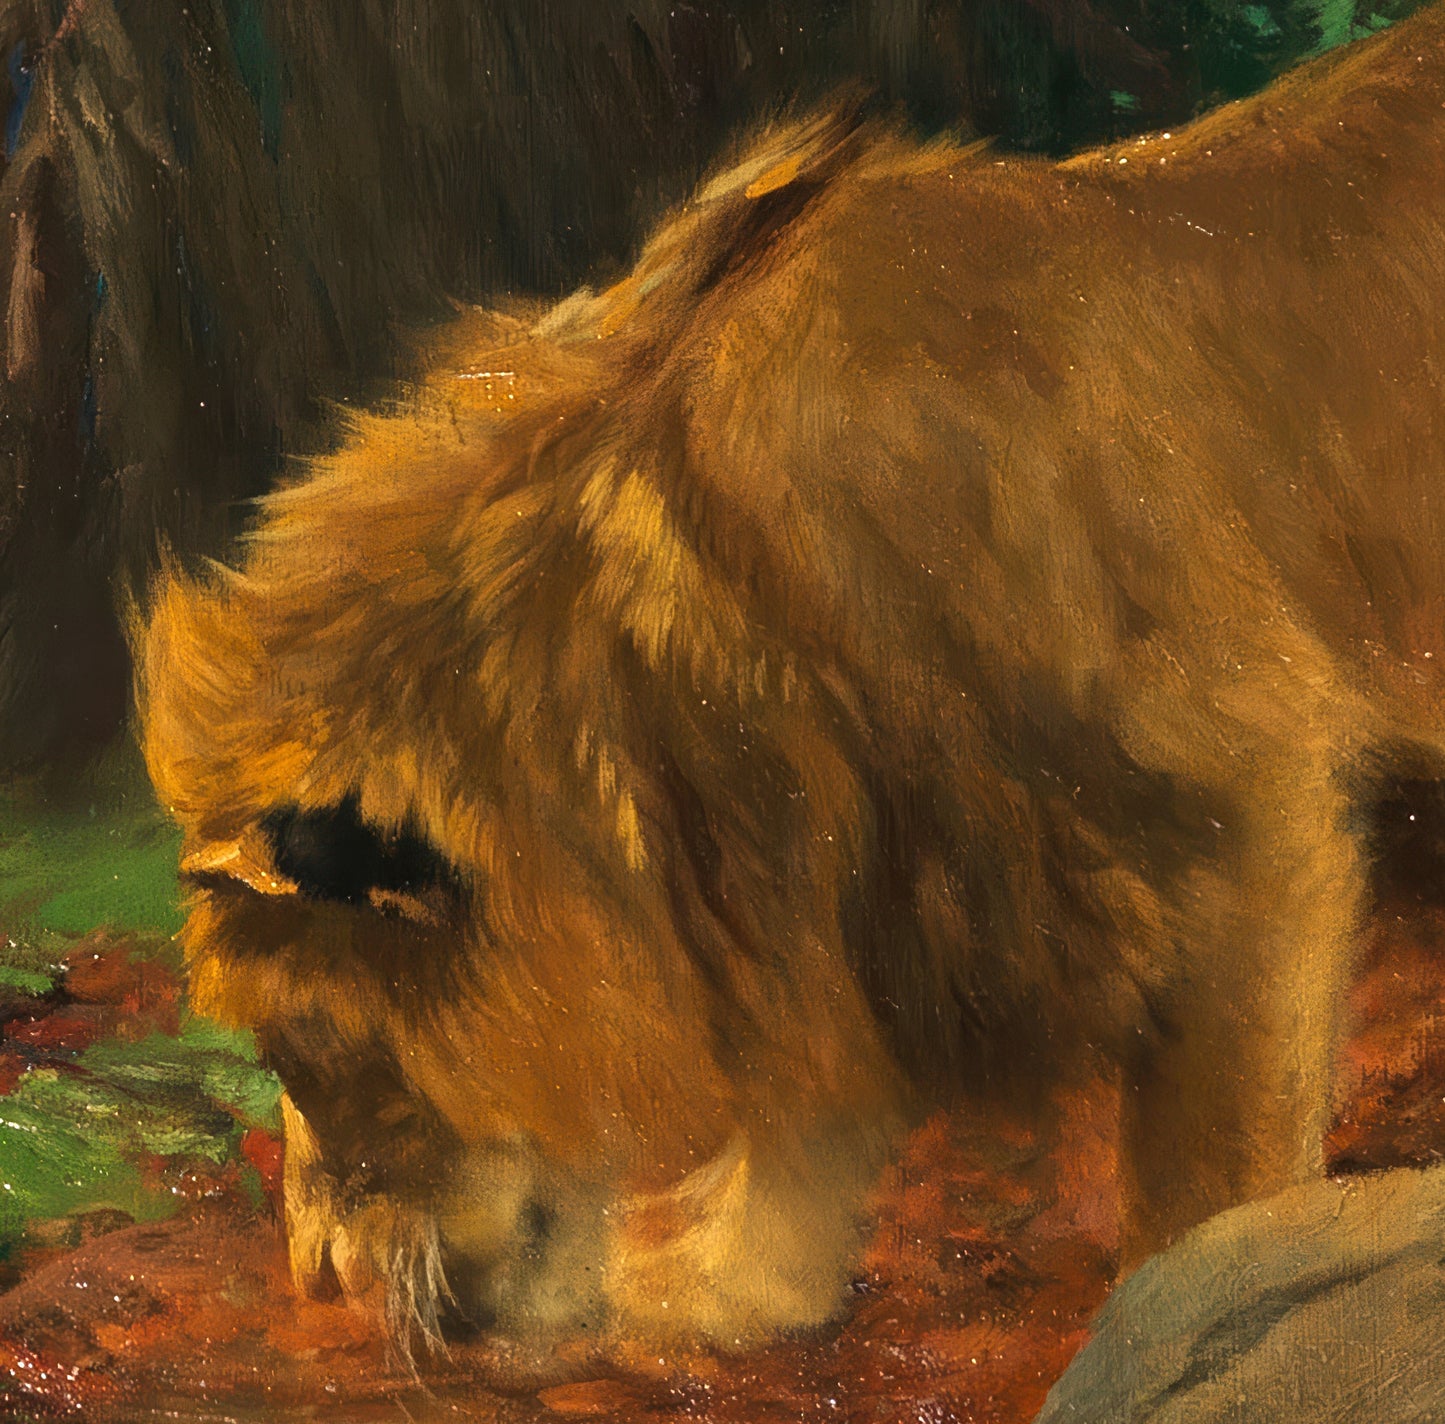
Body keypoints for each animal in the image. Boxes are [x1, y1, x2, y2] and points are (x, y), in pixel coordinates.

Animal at [136, 5, 1445, 1354]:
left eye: (312, 1050)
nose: (318, 1280)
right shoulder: (826, 877)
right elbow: (800, 1125)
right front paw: (721, 1287)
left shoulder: (1235, 808)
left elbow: (1208, 1171)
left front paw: (1191, 1307)